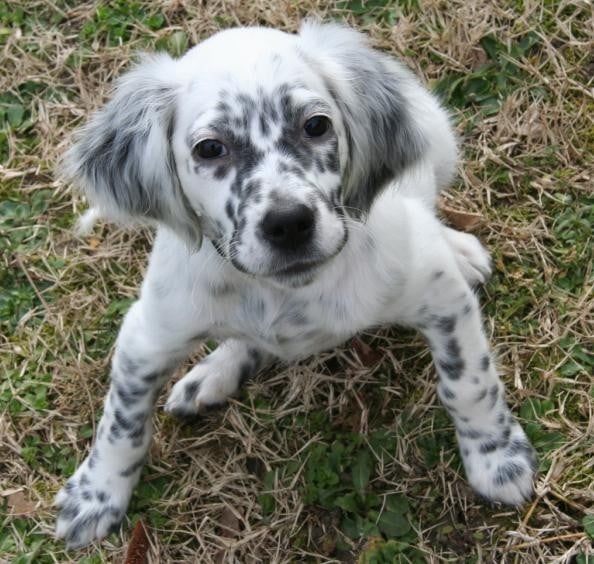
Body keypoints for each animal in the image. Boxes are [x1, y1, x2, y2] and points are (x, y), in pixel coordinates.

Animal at [55, 20, 536, 548]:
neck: (286, 292)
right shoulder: (148, 335)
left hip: (437, 138)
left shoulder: (441, 297)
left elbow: (468, 383)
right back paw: (212, 374)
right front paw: (95, 495)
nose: (288, 224)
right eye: (210, 148)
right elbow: (121, 420)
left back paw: (461, 248)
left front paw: (497, 459)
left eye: (316, 126)